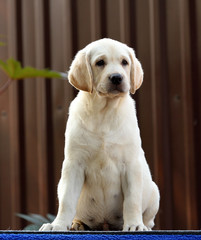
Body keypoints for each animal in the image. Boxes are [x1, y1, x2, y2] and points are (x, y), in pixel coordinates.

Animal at [39, 38, 160, 232]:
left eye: (124, 62)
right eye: (100, 62)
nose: (117, 77)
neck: (105, 112)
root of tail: (105, 224)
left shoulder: (131, 164)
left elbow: (132, 200)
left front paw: (134, 224)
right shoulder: (74, 164)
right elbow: (66, 200)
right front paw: (58, 224)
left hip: (154, 193)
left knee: (149, 218)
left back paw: (143, 225)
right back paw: (77, 224)